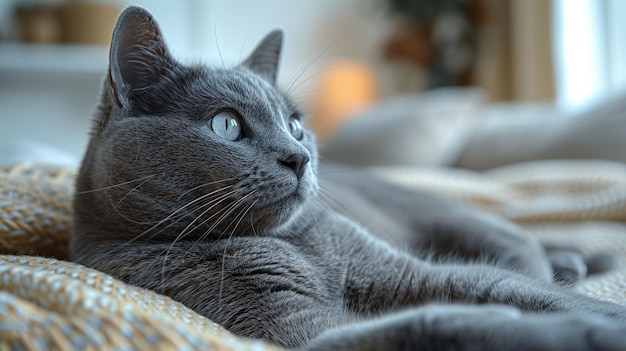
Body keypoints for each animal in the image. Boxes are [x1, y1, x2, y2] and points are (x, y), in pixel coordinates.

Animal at [70, 6, 624, 351]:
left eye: (296, 125)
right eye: (226, 125)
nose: (298, 156)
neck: (298, 247)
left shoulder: (406, 272)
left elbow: (514, 290)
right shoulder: (290, 326)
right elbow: (435, 323)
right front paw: (573, 332)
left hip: (459, 218)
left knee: (523, 251)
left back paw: (571, 261)